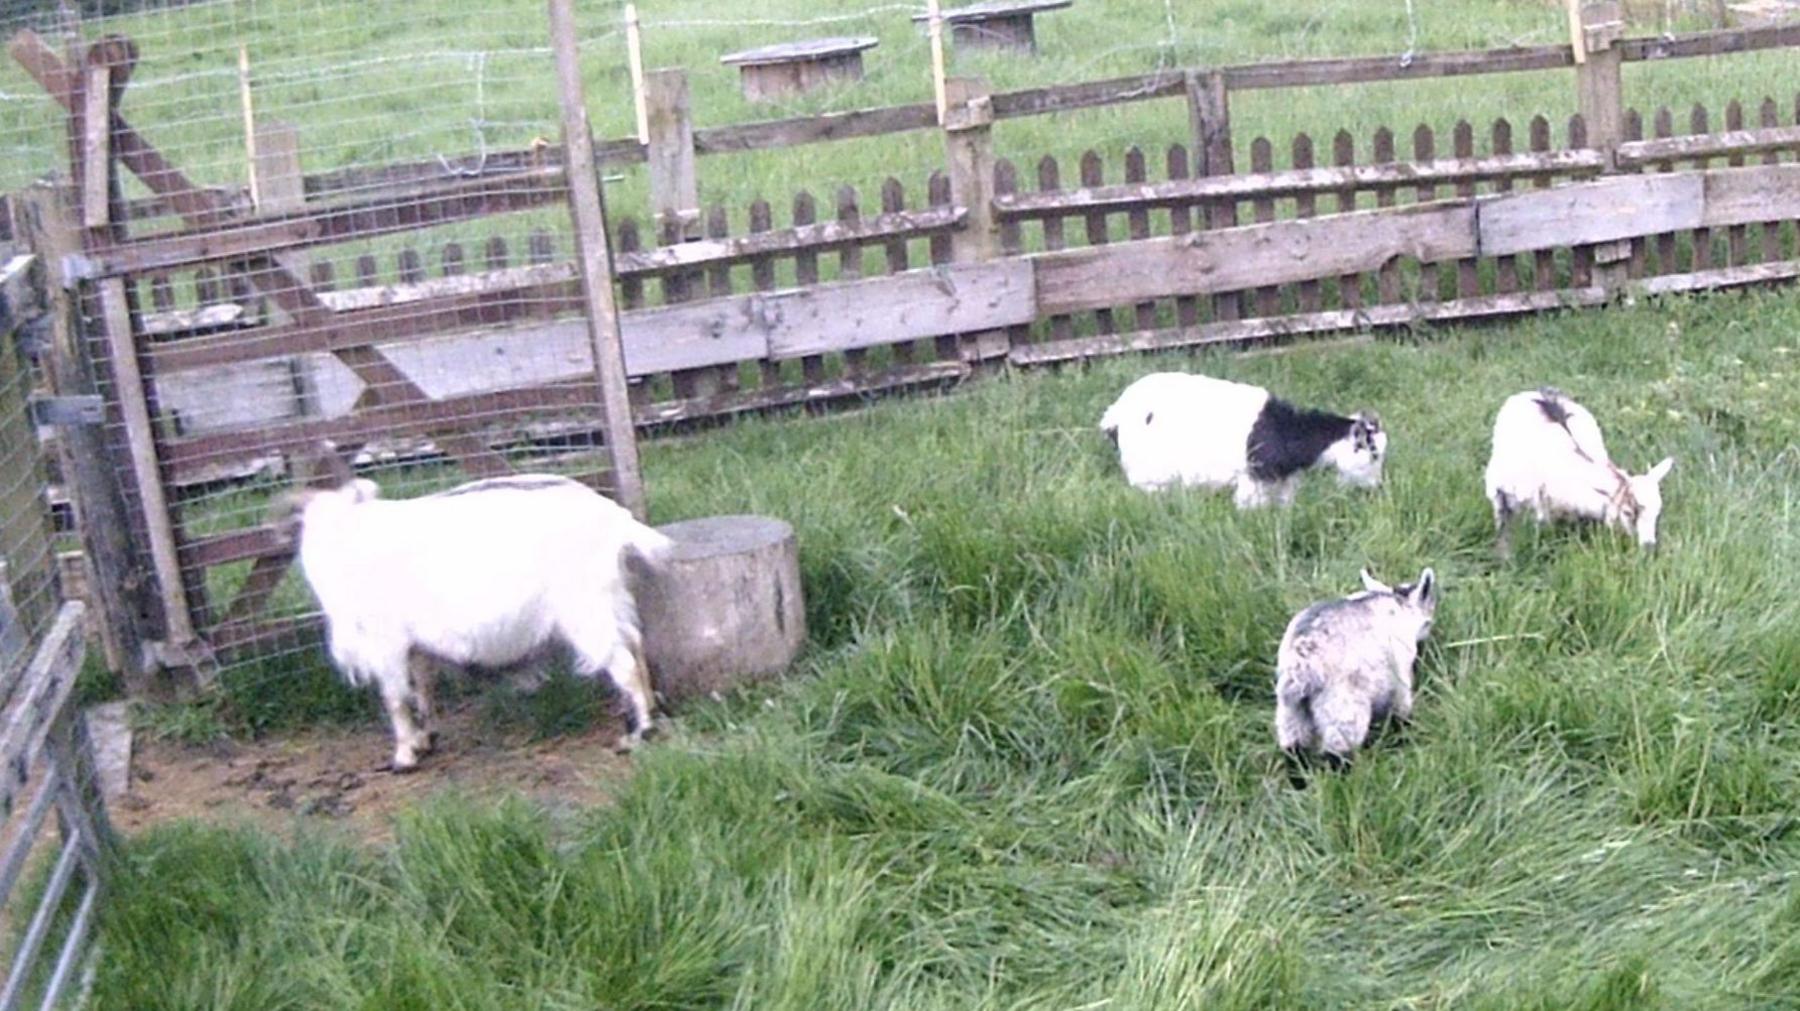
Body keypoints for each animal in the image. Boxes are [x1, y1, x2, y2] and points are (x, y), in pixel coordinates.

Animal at [273, 467, 676, 766]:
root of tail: (615, 520)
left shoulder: (385, 641)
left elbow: (395, 697)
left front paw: (404, 754)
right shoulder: (414, 646)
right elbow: (423, 687)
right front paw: (427, 737)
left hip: (585, 610)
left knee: (623, 663)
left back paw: (638, 734)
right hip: (611, 601)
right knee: (636, 644)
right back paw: (650, 709)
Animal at [1087, 370, 1382, 507]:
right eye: (1373, 454)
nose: (1375, 489)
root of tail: (1114, 415)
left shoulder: (1281, 483)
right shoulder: (1252, 483)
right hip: (1147, 478)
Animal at [1274, 568, 1440, 762]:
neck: (1399, 604)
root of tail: (1302, 662)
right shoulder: (1399, 673)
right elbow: (1400, 709)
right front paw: (1402, 735)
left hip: (1290, 710)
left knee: (1294, 747)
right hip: (1343, 703)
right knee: (1339, 750)